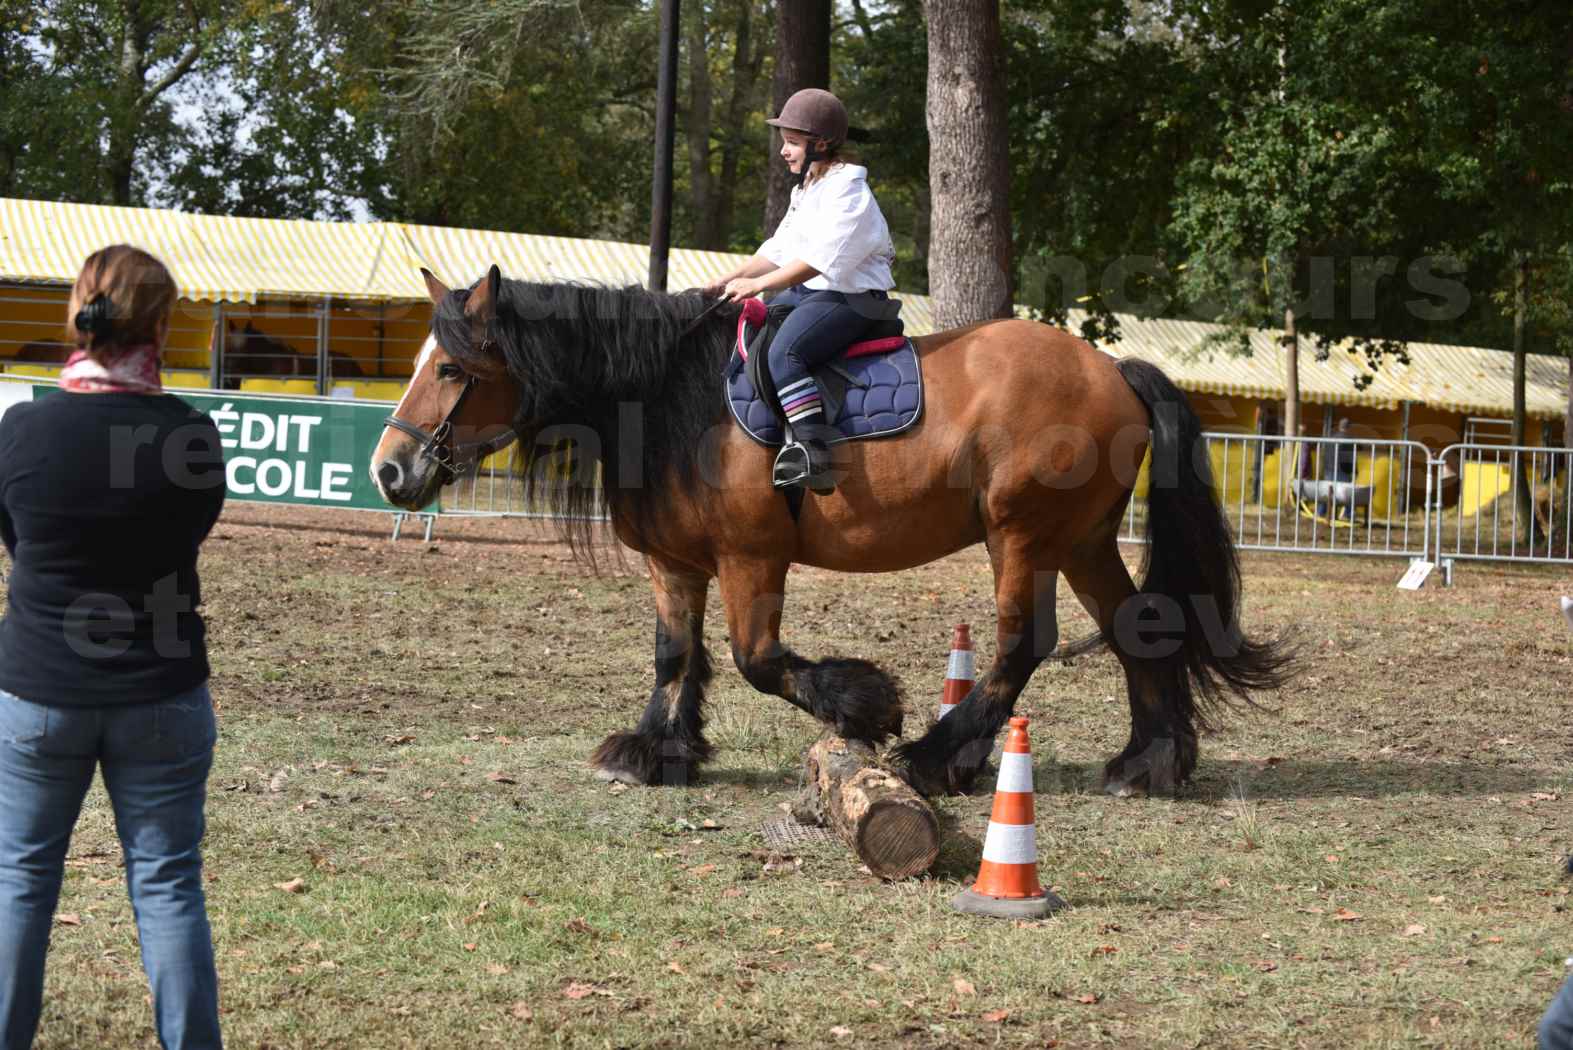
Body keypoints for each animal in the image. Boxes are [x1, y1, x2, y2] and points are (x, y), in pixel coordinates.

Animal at [369, 266, 1292, 797]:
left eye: (449, 367)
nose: (388, 471)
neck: (669, 396)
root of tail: (1113, 370)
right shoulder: (675, 562)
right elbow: (676, 657)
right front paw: (657, 750)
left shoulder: (751, 557)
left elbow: (758, 659)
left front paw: (863, 705)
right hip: (1082, 540)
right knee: (1142, 630)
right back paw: (1149, 764)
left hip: (1022, 537)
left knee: (1020, 643)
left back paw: (934, 756)